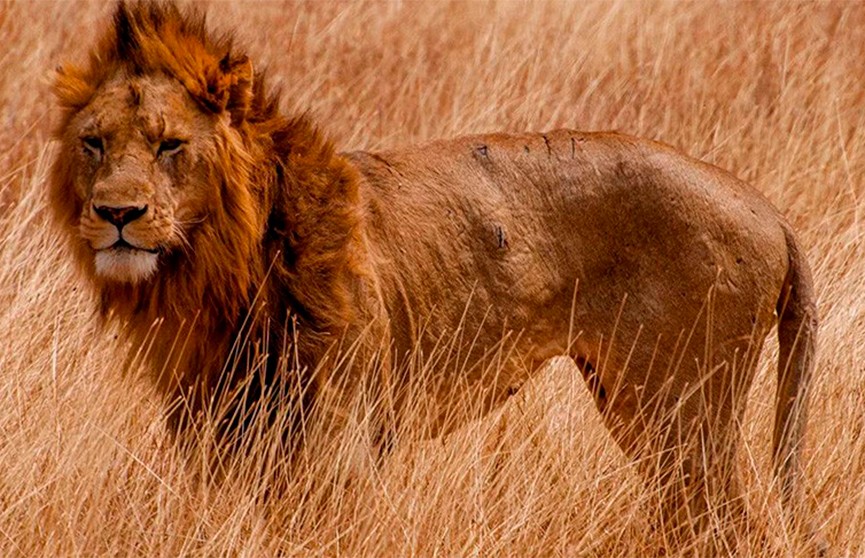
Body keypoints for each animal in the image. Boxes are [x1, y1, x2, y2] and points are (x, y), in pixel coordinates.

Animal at [49, 1, 819, 551]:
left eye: (170, 145)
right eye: (94, 143)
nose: (117, 213)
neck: (215, 276)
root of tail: (768, 209)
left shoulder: (336, 444)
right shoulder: (219, 436)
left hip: (681, 413)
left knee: (729, 527)